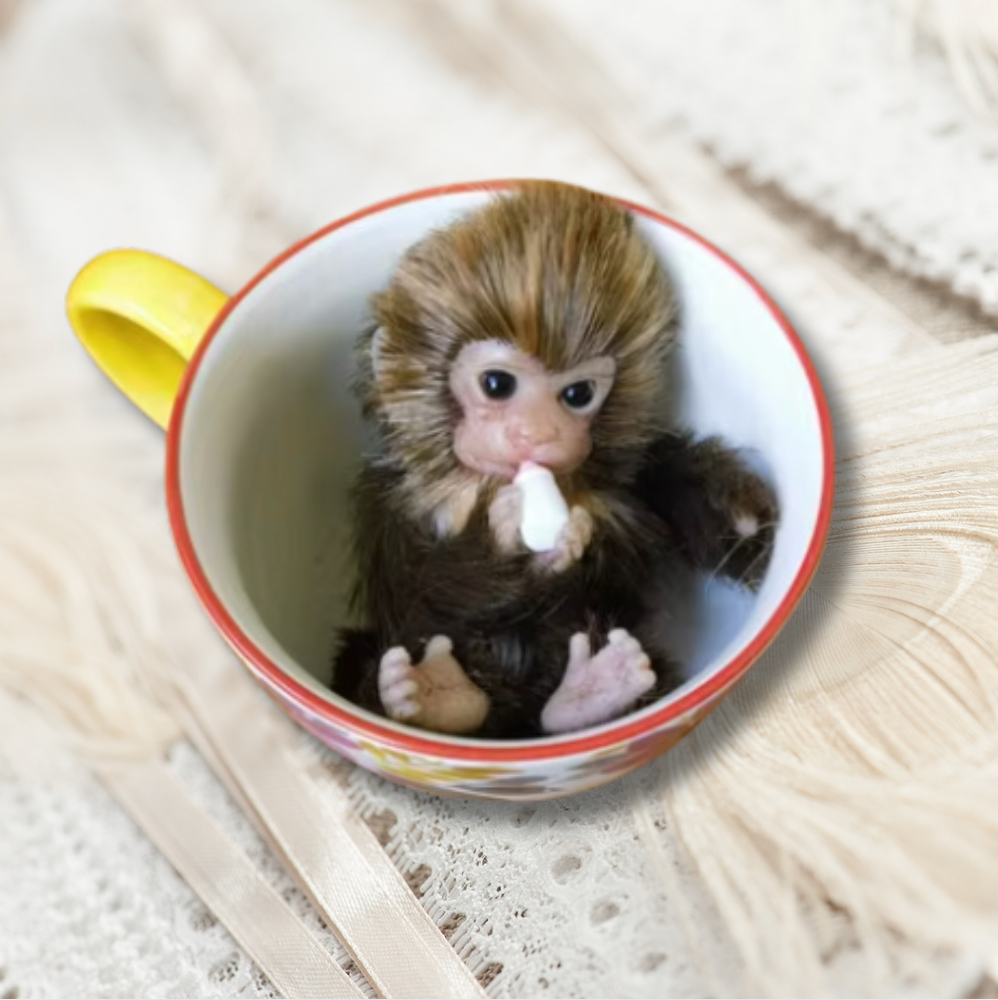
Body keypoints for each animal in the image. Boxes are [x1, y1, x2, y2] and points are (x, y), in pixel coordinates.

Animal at [330, 180, 778, 739]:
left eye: (578, 394)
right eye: (497, 384)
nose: (538, 433)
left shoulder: (632, 479)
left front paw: (739, 517)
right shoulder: (386, 503)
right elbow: (418, 584)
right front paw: (503, 533)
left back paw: (591, 694)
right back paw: (430, 693)